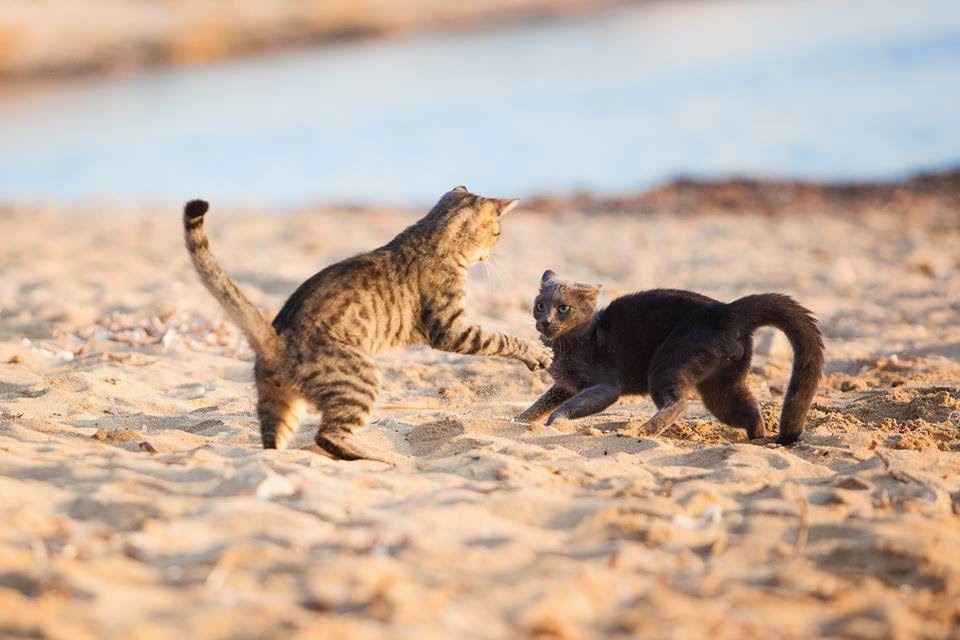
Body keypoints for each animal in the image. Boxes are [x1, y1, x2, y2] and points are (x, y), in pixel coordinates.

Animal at [184, 186, 552, 460]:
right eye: (498, 232)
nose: (493, 251)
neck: (431, 235)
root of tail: (277, 341)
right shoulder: (451, 328)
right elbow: (501, 339)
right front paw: (536, 354)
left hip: (279, 403)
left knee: (272, 443)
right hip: (362, 380)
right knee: (328, 436)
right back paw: (376, 457)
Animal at [516, 270, 824, 444]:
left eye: (564, 309)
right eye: (540, 306)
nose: (545, 322)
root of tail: (726, 309)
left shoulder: (605, 387)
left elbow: (564, 408)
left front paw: (553, 424)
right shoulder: (564, 385)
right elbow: (540, 402)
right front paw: (519, 420)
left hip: (669, 361)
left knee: (678, 402)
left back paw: (638, 432)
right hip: (721, 385)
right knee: (748, 408)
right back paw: (758, 439)